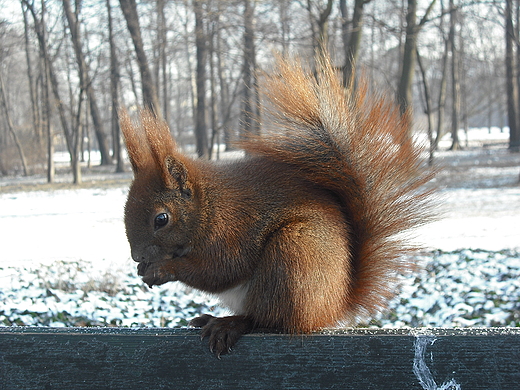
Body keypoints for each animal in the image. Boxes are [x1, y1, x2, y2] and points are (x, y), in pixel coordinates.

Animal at [119, 54, 434, 356]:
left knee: (269, 319)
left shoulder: (233, 227)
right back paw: (211, 318)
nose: (136, 257)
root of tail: (333, 305)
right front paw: (144, 269)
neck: (208, 206)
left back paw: (230, 324)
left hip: (293, 256)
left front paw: (162, 270)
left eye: (161, 219)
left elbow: (220, 270)